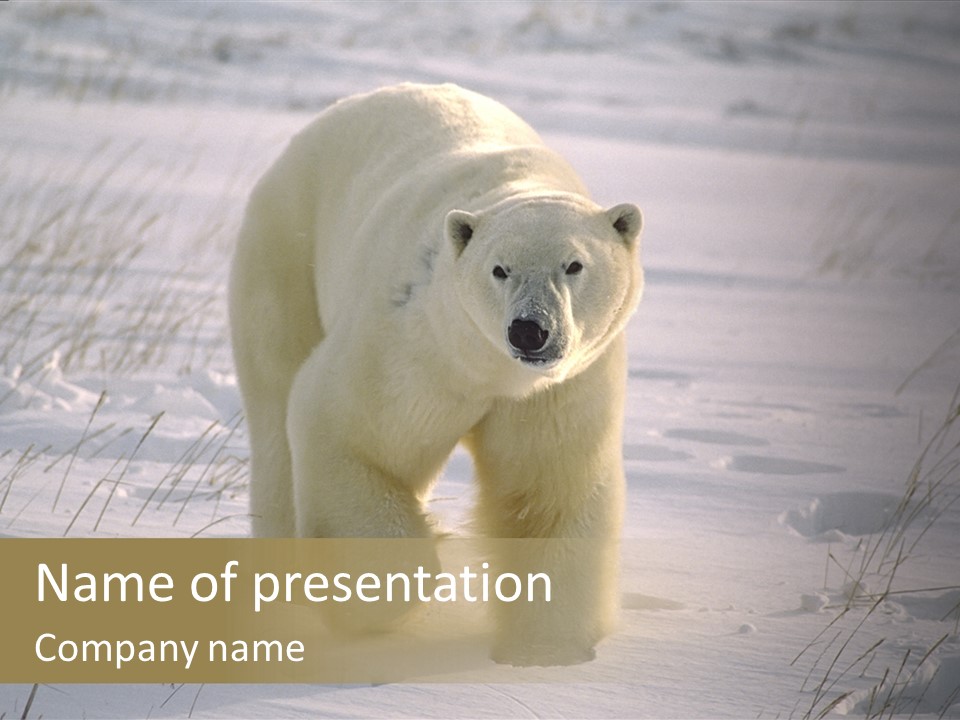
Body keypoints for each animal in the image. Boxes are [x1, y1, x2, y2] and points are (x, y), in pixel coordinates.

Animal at [229, 82, 643, 666]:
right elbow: (349, 431)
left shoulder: (559, 390)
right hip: (286, 253)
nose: (529, 331)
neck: (491, 371)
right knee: (274, 407)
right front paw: (381, 599)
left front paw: (545, 647)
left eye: (574, 265)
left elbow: (545, 492)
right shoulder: (418, 347)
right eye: (499, 269)